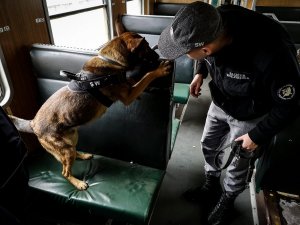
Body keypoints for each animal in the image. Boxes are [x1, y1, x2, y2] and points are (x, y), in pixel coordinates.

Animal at [9, 31, 172, 190]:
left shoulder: (128, 88)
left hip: (72, 138)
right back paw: (78, 183)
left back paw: (82, 155)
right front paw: (159, 71)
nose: (158, 56)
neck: (111, 61)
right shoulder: (127, 96)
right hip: (65, 149)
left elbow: (134, 81)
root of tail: (32, 124)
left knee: (72, 154)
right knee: (65, 172)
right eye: (147, 47)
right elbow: (145, 77)